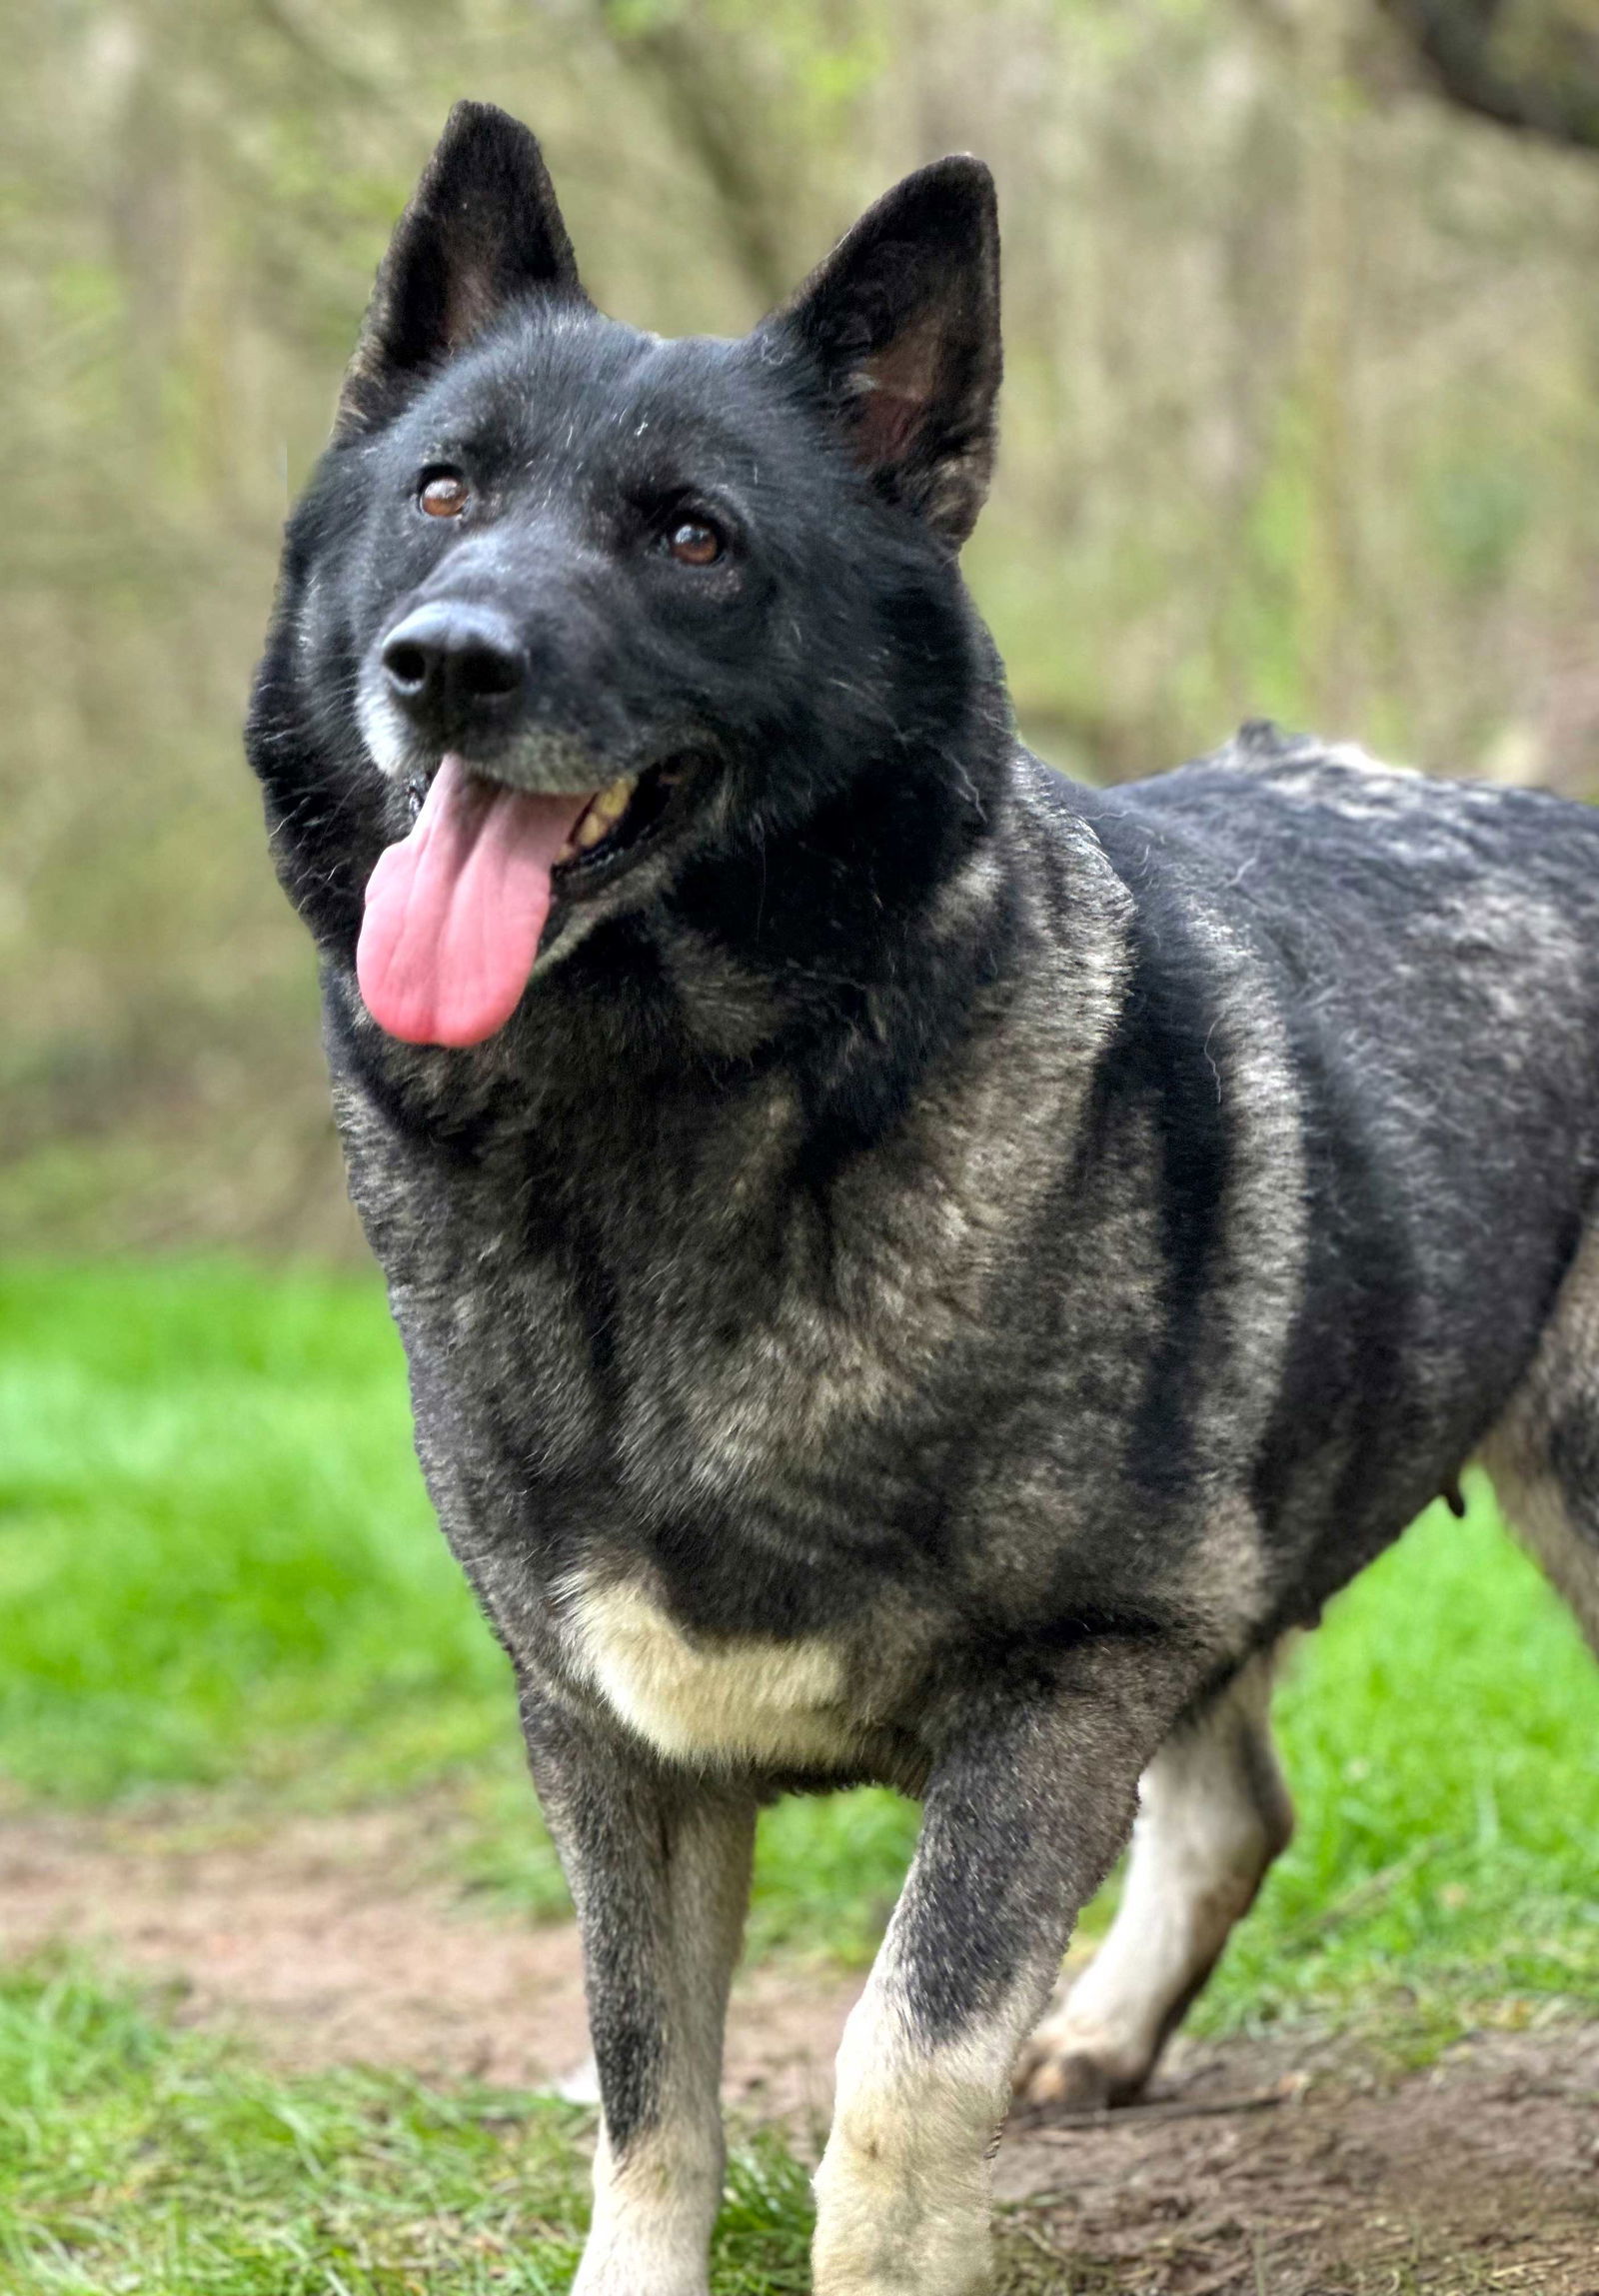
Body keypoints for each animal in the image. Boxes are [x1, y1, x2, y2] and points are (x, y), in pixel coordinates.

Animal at [243, 107, 1596, 2296]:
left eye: (693, 538)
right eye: (442, 489)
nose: (442, 663)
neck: (677, 1129)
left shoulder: (1059, 1692)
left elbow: (894, 2068)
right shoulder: (609, 1747)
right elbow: (647, 2083)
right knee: (1232, 1808)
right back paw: (1110, 2029)